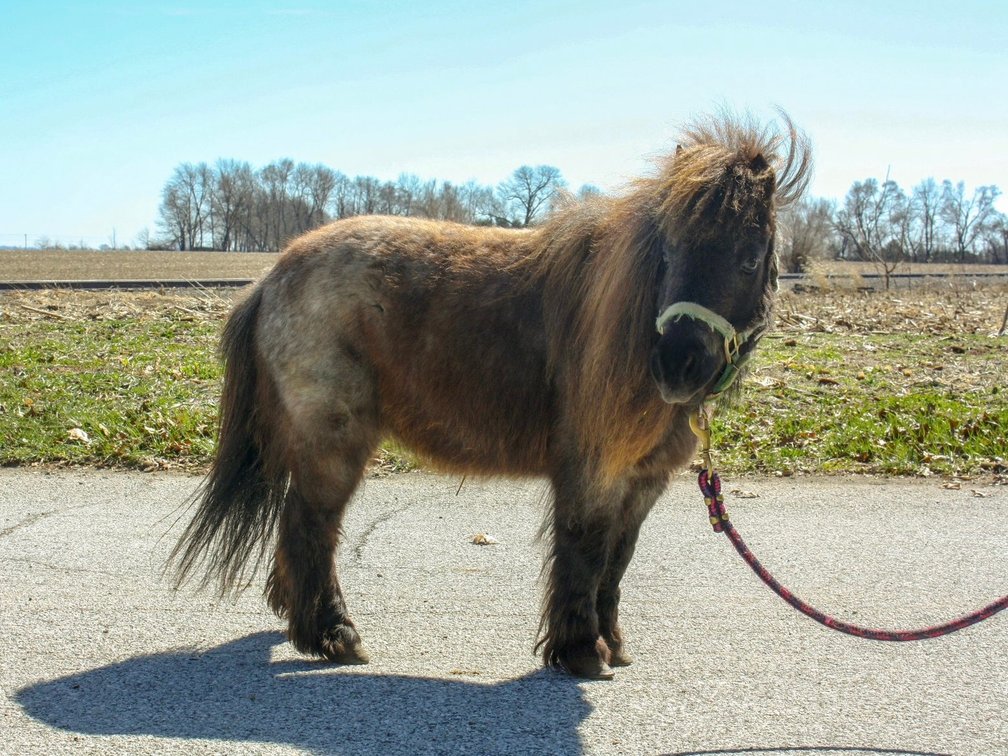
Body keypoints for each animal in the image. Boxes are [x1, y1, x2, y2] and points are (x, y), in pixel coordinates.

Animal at [171, 113, 811, 679]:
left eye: (749, 257)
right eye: (670, 251)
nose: (676, 366)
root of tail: (272, 276)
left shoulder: (643, 481)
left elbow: (616, 561)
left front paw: (613, 645)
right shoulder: (594, 472)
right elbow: (584, 550)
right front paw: (581, 652)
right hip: (334, 443)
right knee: (313, 528)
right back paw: (334, 635)